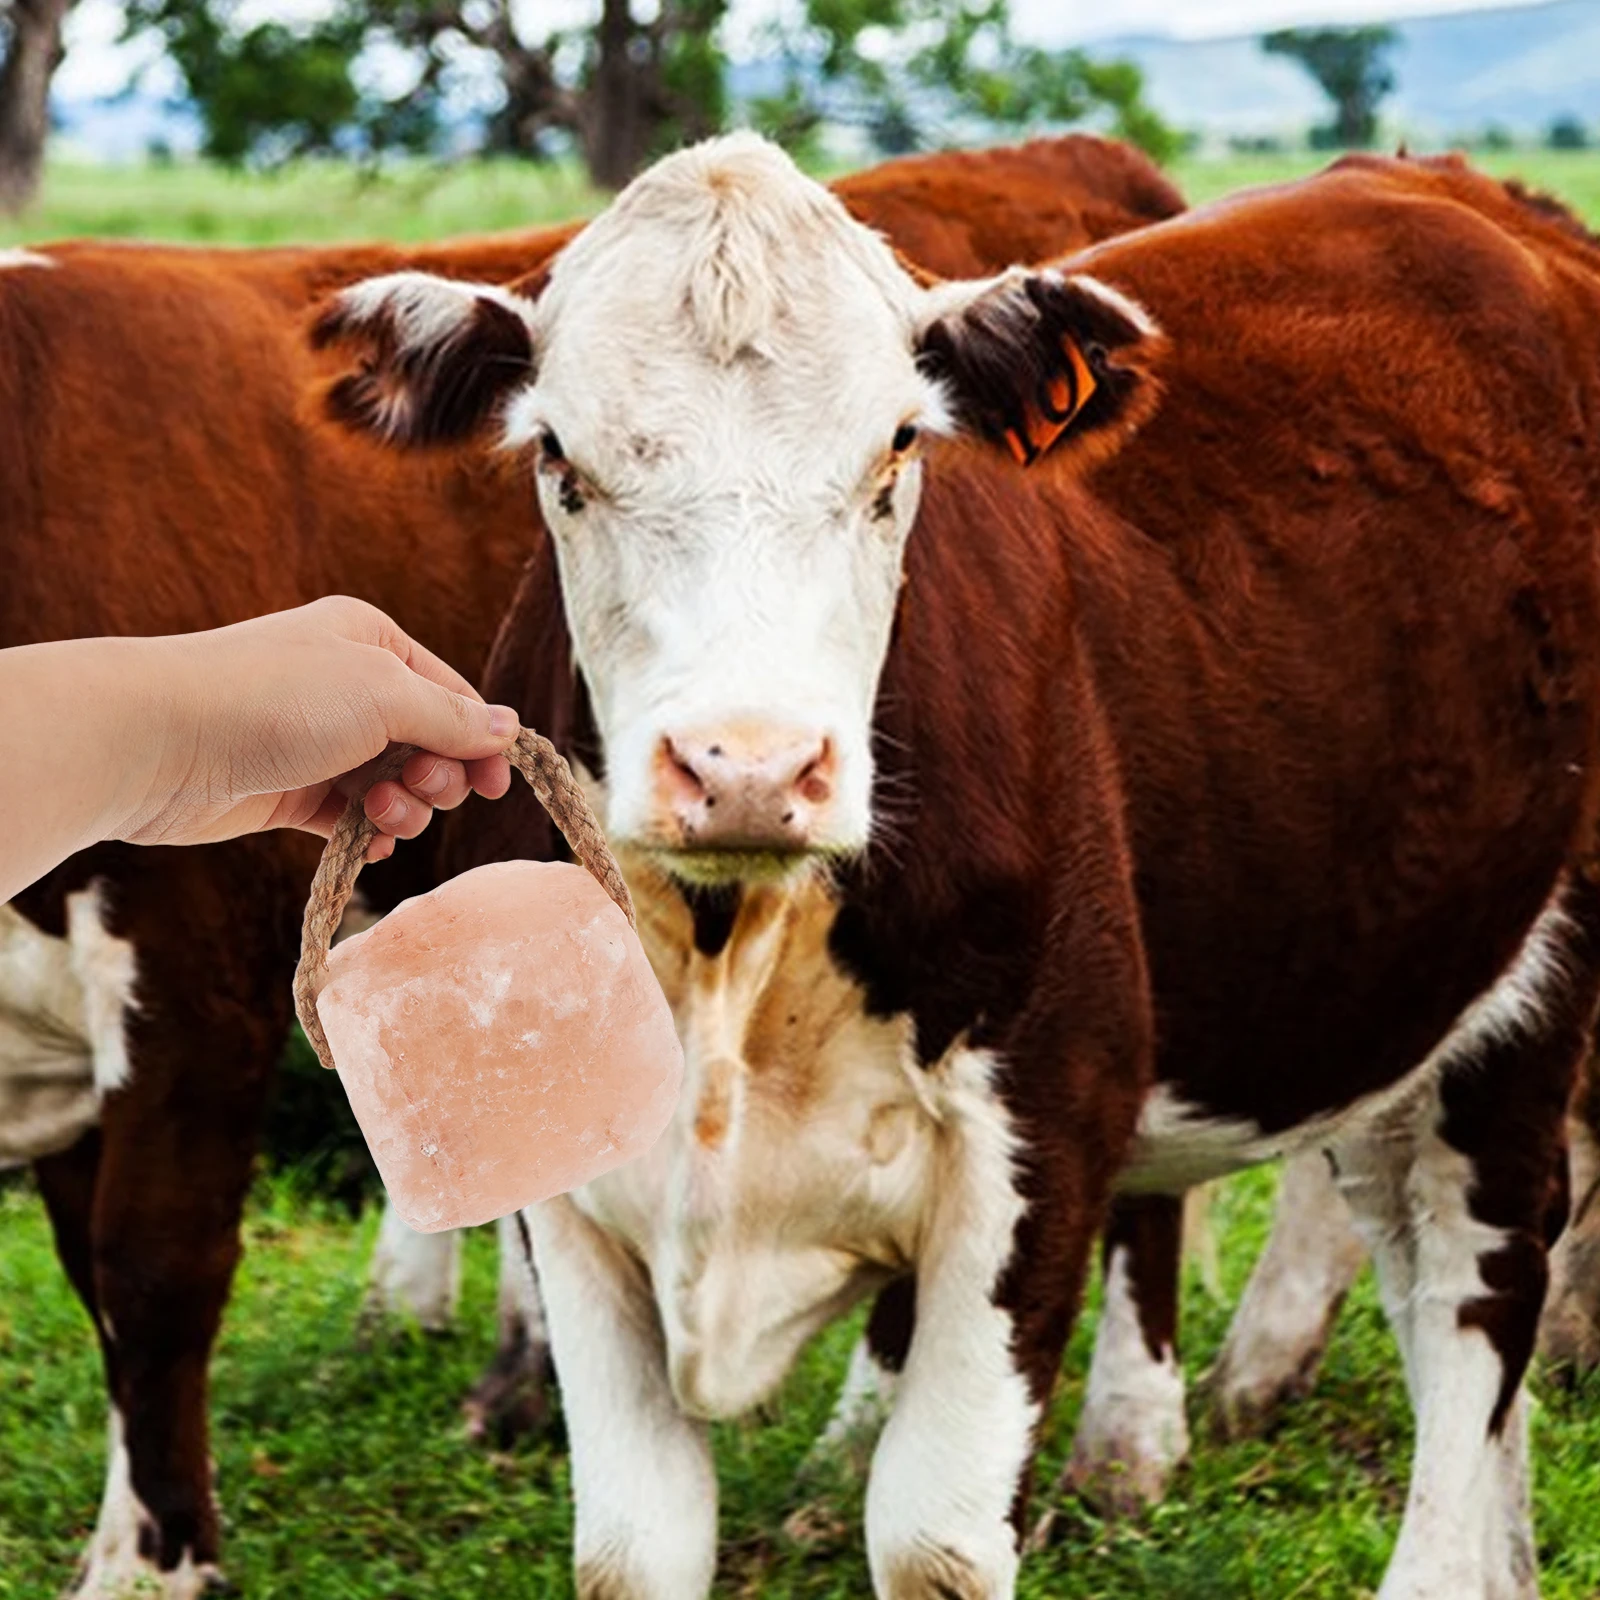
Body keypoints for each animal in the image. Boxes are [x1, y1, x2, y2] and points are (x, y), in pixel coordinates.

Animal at [0, 135, 1183, 1597]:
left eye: (904, 444)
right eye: (555, 456)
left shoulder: (192, 976)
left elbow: (151, 1273)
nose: (745, 767)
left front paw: (152, 1561)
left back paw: (1134, 1446)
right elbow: (95, 1276)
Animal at [320, 138, 1600, 1599]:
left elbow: (934, 1537)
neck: (735, 947)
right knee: (1404, 1242)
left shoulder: (1041, 1141)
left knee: (1478, 1281)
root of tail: (1453, 186)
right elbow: (636, 1551)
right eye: (556, 454)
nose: (747, 766)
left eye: (898, 444)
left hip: (1541, 970)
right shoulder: (575, 1203)